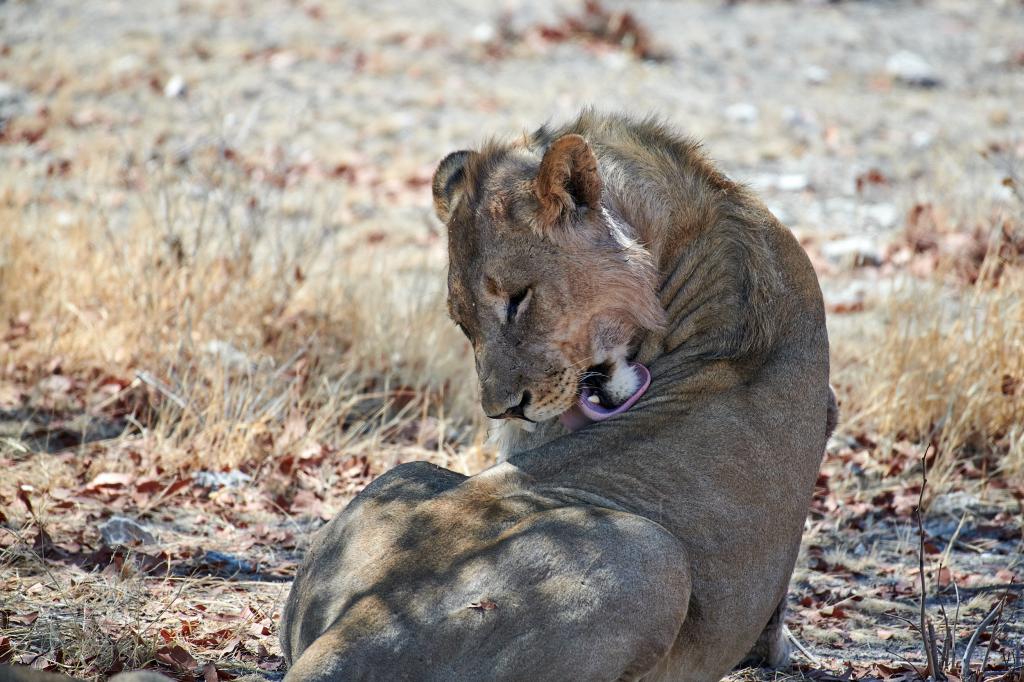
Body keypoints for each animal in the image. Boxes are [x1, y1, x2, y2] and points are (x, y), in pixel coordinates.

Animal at [280, 109, 839, 675]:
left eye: (518, 299)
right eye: (464, 323)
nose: (502, 411)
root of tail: (352, 625)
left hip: (406, 473)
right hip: (654, 554)